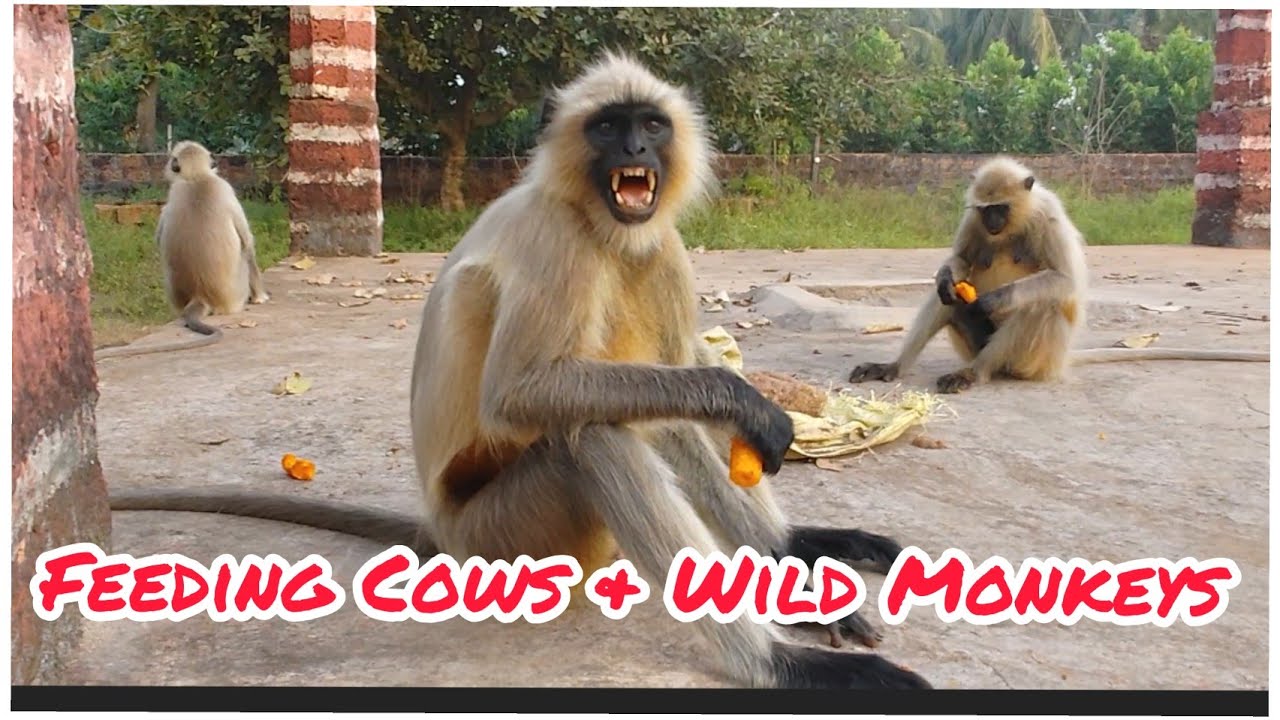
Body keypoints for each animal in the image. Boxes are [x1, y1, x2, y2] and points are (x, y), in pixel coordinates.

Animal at [95, 141, 269, 361]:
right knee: (244, 256)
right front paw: (261, 297)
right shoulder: (224, 187)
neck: (195, 178)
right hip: (236, 294)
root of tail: (200, 294)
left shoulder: (172, 195)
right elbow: (247, 243)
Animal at [848, 156, 1267, 394]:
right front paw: (945, 277)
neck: (1013, 225)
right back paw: (894, 366)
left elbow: (1065, 283)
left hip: (1037, 359)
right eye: (986, 210)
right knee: (947, 300)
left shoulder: (1047, 215)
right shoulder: (972, 221)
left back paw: (976, 373)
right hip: (974, 342)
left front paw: (994, 300)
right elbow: (959, 264)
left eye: (1000, 207)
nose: (993, 222)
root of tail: (1060, 362)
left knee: (1038, 307)